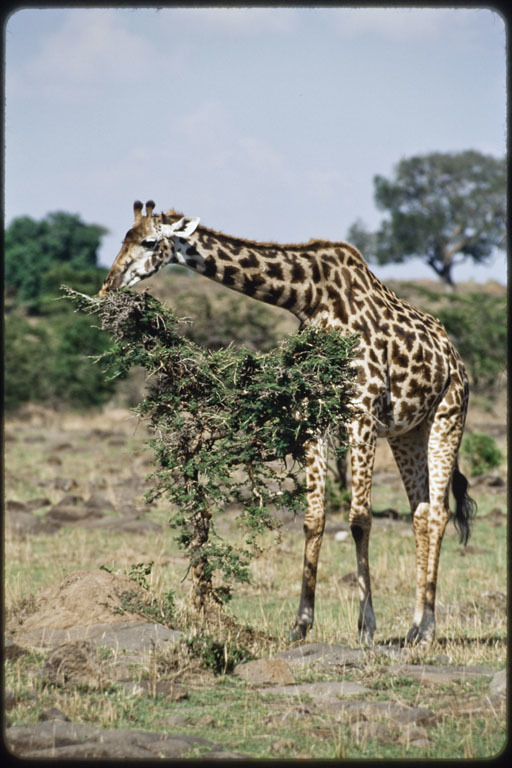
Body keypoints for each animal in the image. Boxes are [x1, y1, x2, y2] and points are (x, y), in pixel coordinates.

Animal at [100, 201, 476, 644]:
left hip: (447, 418)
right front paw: (300, 623)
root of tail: (455, 359)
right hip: (407, 432)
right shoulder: (313, 416)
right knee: (421, 512)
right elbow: (314, 518)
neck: (309, 299)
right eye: (123, 237)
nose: (107, 287)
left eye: (148, 242)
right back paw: (415, 625)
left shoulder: (362, 413)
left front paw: (366, 626)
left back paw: (428, 628)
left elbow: (360, 520)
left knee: (438, 514)